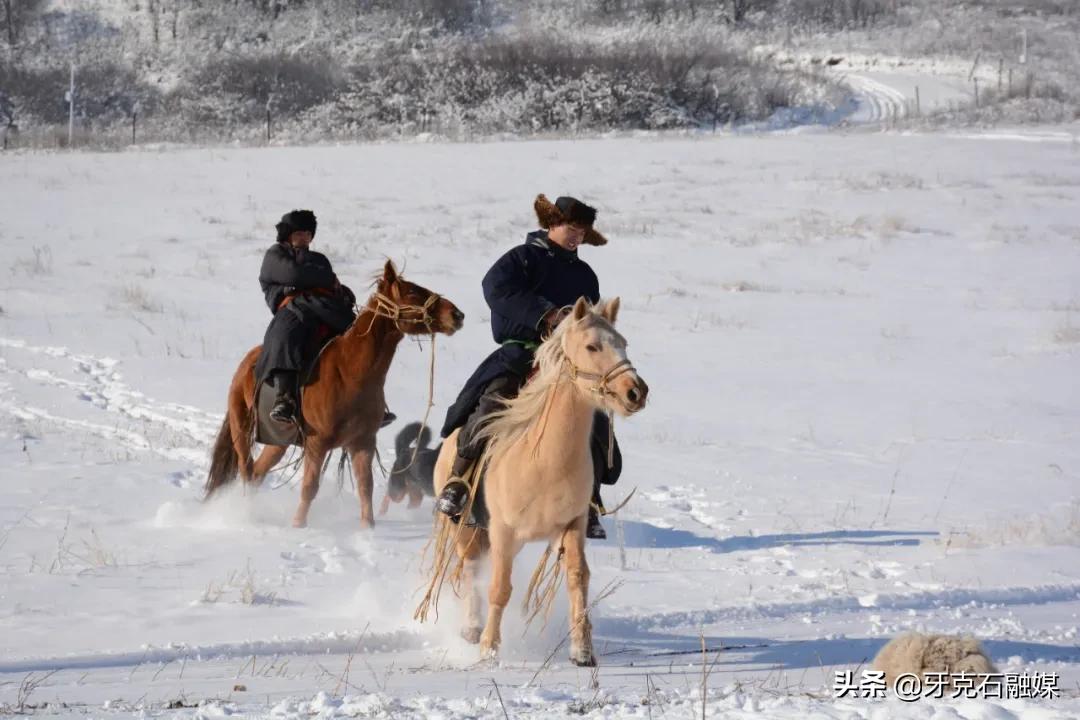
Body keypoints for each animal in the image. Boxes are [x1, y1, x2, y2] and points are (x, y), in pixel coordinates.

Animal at [204, 260, 462, 528]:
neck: (350, 373)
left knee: (257, 473)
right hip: (241, 427)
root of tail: (248, 362)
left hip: (278, 442)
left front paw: (367, 528)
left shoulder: (363, 443)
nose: (456, 315)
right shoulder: (317, 444)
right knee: (247, 470)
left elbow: (365, 487)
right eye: (412, 292)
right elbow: (310, 487)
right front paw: (298, 526)